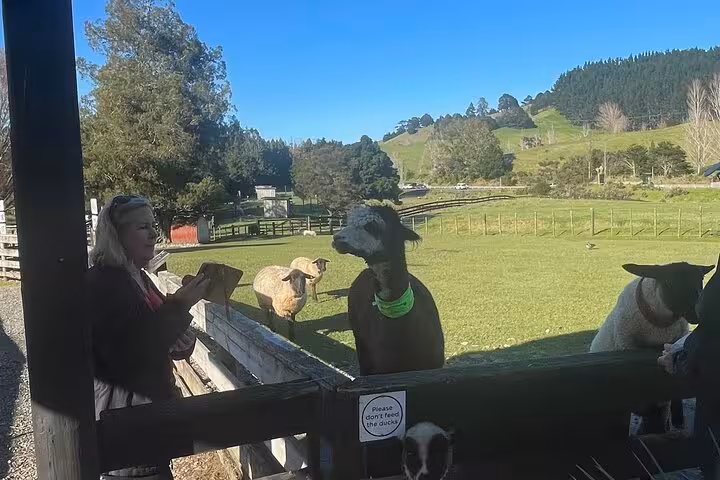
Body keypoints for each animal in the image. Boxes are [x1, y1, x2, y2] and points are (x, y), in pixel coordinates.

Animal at [590, 261, 715, 434]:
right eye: (670, 283)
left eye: (701, 280)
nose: (698, 314)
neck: (660, 328)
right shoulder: (627, 345)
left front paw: (676, 419)